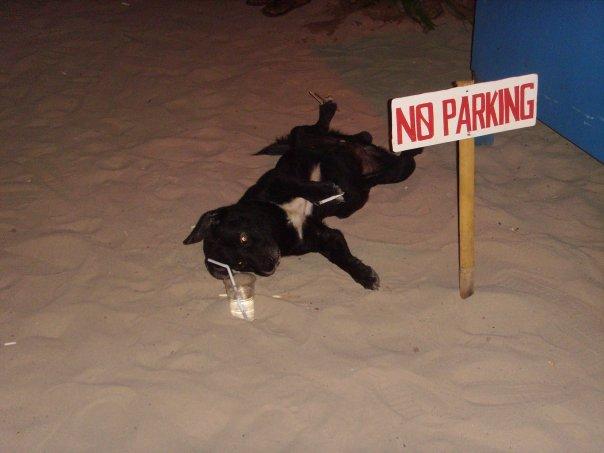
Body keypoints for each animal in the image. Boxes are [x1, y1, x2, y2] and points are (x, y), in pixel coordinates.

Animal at [183, 100, 421, 289]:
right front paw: (364, 275)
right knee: (390, 162)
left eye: (243, 238)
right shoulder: (323, 237)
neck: (277, 221)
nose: (269, 267)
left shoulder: (275, 180)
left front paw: (326, 190)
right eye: (240, 264)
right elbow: (341, 259)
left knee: (306, 129)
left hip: (306, 140)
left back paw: (331, 112)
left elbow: (297, 185)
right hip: (396, 172)